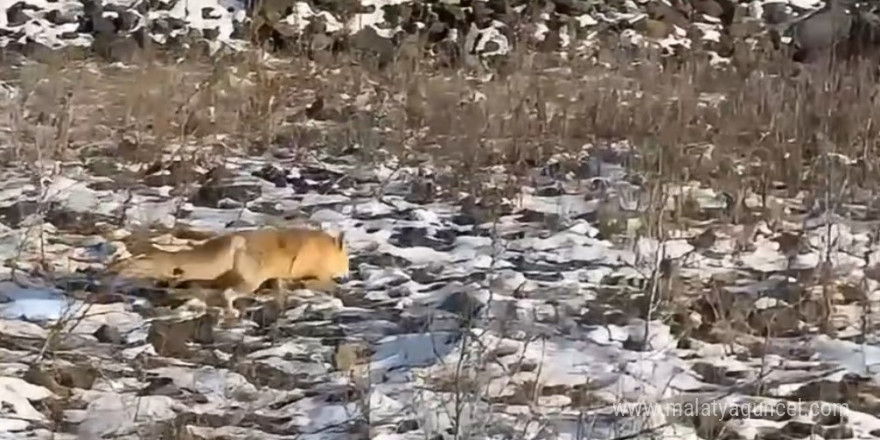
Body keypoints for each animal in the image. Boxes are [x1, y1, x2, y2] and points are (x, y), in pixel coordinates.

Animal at [111, 227, 352, 316]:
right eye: (348, 261)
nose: (349, 274)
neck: (323, 250)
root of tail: (237, 240)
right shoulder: (316, 274)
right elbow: (326, 284)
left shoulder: (278, 278)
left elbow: (281, 293)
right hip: (250, 283)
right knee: (227, 294)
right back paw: (232, 312)